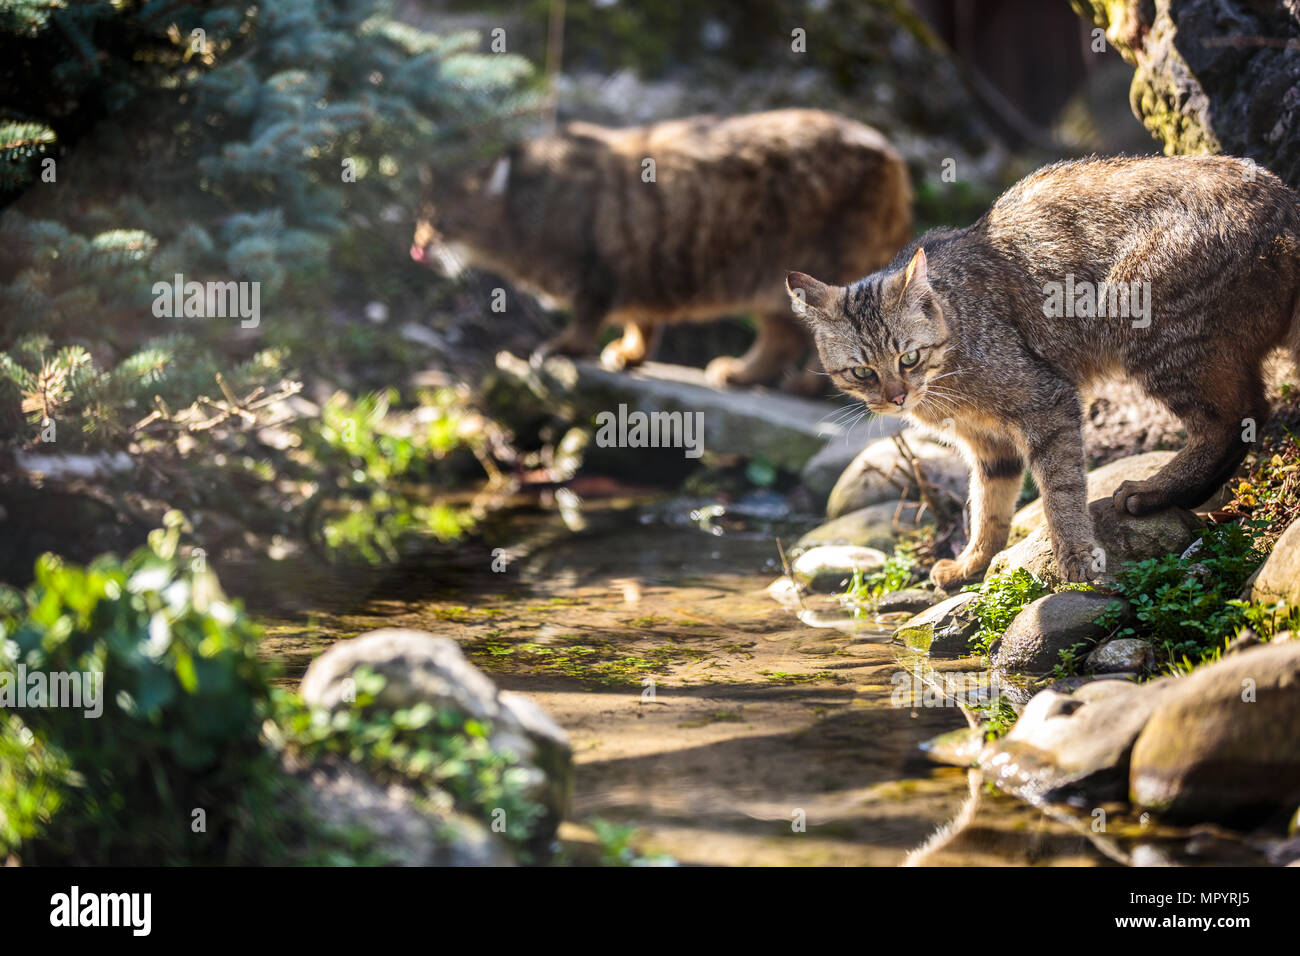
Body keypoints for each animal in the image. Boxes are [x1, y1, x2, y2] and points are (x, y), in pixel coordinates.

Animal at [410, 111, 909, 392]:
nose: (418, 246)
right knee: (780, 339)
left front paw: (567, 347)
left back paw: (805, 384)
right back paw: (744, 374)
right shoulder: (640, 269)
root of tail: (891, 153)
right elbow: (642, 322)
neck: (529, 207)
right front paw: (630, 354)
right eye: (422, 217)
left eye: (443, 222)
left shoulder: (597, 272)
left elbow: (588, 317)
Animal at [780, 155, 1300, 590]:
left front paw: (1075, 554)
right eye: (862, 372)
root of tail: (1284, 199)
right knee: (1250, 414)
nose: (896, 397)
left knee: (1236, 419)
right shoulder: (988, 446)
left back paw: (1152, 492)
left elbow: (1060, 490)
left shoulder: (1047, 403)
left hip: (1156, 334)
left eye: (908, 358)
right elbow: (988, 506)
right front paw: (973, 562)